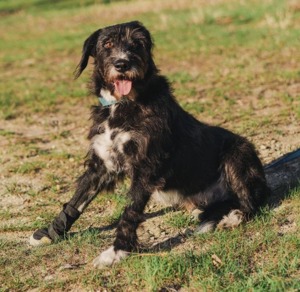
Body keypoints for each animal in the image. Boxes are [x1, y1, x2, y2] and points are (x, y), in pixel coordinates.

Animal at [29, 20, 270, 266]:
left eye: (137, 44)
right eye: (107, 44)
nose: (122, 63)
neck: (122, 105)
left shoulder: (145, 166)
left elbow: (130, 211)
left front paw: (117, 250)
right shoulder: (102, 163)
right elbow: (77, 199)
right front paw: (51, 232)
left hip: (237, 156)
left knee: (252, 201)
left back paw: (234, 217)